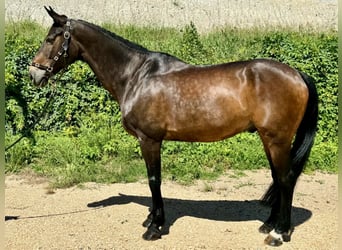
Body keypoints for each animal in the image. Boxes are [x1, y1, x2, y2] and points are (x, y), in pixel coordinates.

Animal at [28, 6, 318, 247]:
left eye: (51, 39)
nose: (34, 73)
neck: (137, 76)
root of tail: (297, 74)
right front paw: (150, 219)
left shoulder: (149, 139)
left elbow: (153, 180)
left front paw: (154, 227)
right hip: (269, 139)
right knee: (278, 178)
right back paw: (268, 224)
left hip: (277, 139)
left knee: (285, 179)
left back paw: (279, 233)